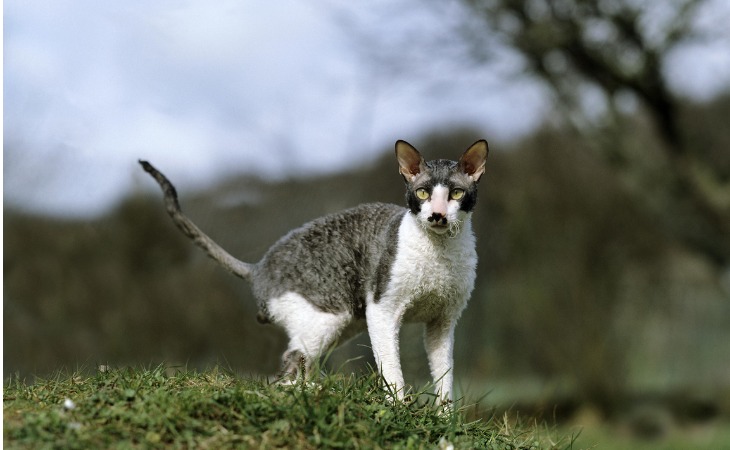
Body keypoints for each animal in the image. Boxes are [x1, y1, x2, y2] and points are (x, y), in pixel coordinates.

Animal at [139, 138, 486, 404]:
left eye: (455, 194)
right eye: (423, 193)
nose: (437, 215)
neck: (440, 252)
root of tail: (259, 268)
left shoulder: (443, 322)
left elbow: (445, 375)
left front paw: (445, 419)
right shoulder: (382, 309)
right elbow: (391, 368)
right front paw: (398, 408)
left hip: (342, 323)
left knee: (300, 365)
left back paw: (315, 389)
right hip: (328, 316)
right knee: (284, 371)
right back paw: (308, 393)